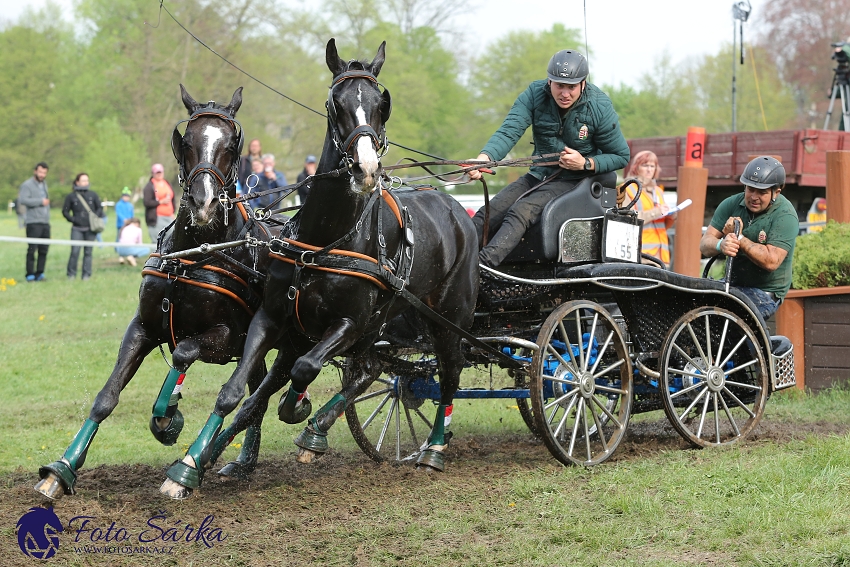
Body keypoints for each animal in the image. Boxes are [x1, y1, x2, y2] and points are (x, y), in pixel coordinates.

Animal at [35, 85, 274, 502]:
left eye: (231, 144)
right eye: (188, 141)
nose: (204, 203)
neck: (193, 255)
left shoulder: (230, 337)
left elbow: (184, 352)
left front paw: (168, 418)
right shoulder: (143, 327)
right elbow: (106, 397)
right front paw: (62, 469)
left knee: (251, 394)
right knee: (255, 389)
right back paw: (243, 461)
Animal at [159, 40, 476, 500]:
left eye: (381, 103)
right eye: (335, 103)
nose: (366, 169)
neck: (327, 236)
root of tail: (455, 206)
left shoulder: (347, 323)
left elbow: (305, 370)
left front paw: (298, 408)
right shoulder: (273, 318)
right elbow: (237, 391)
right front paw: (188, 466)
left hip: (446, 319)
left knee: (447, 375)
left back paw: (431, 449)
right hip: (375, 323)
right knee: (366, 370)